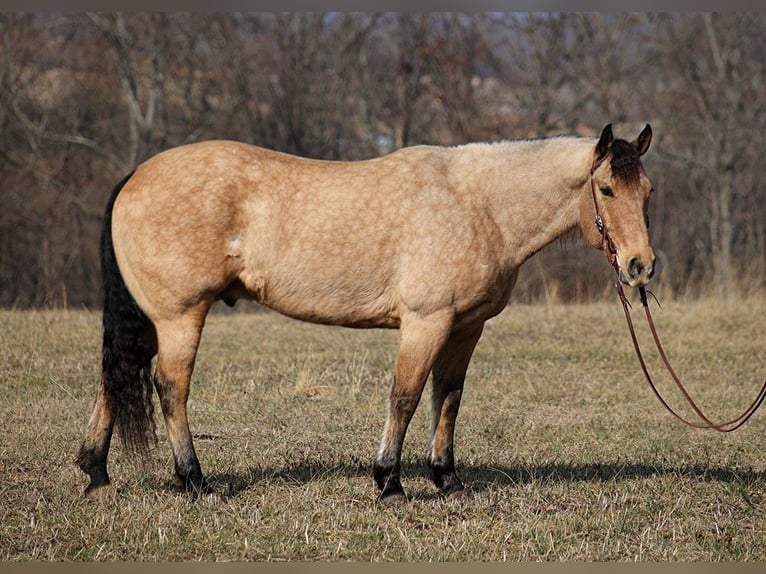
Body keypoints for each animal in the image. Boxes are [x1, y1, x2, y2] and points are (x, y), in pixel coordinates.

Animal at [76, 122, 656, 504]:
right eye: (607, 189)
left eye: (647, 190)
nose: (640, 266)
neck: (478, 205)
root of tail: (135, 176)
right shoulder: (426, 321)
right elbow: (405, 397)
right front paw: (389, 482)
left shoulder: (464, 327)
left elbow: (448, 398)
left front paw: (446, 478)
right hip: (180, 316)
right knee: (170, 387)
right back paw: (194, 481)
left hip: (152, 319)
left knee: (115, 378)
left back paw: (96, 472)